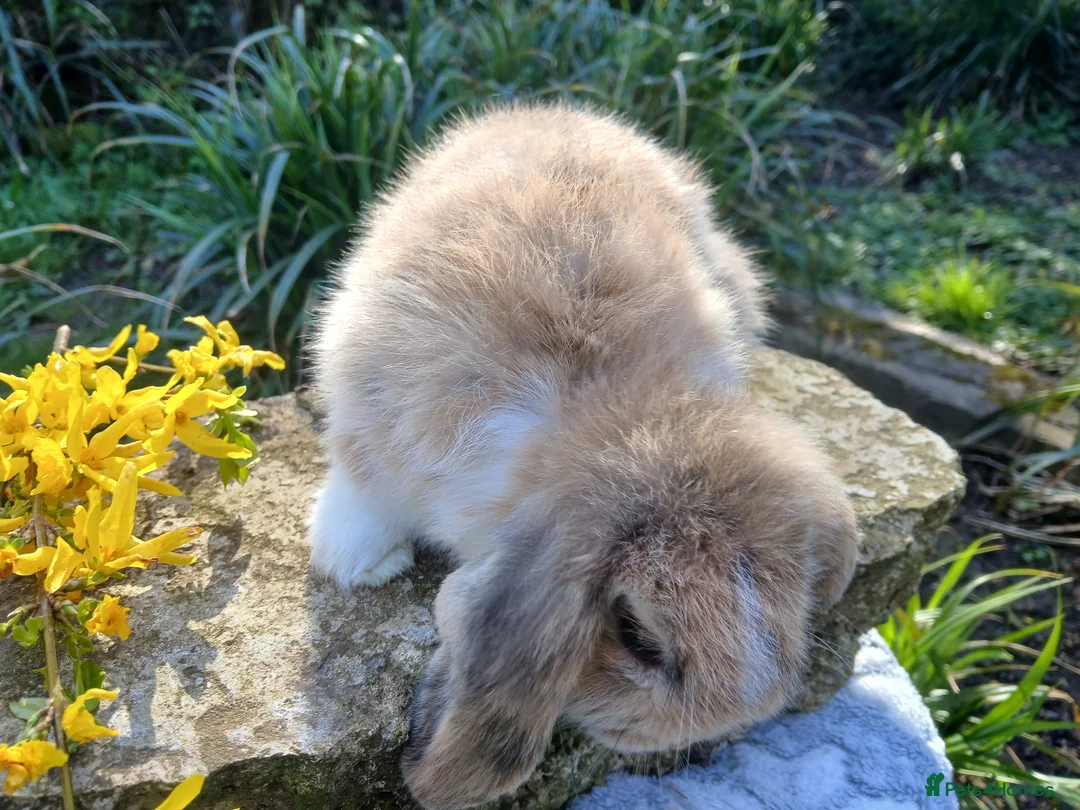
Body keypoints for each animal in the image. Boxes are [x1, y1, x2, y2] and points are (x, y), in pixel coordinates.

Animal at [308, 101, 859, 810]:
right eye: (638, 638)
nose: (723, 722)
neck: (609, 411)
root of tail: (551, 108)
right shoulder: (370, 407)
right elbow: (361, 483)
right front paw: (364, 562)